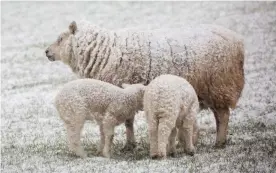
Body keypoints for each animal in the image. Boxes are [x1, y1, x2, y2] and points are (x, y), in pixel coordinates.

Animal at [45, 20, 246, 147]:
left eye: (61, 39)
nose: (46, 52)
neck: (105, 51)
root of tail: (237, 41)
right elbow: (128, 121)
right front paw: (130, 144)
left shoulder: (122, 92)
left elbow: (127, 121)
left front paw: (128, 144)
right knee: (219, 116)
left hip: (219, 85)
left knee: (223, 116)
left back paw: (219, 143)